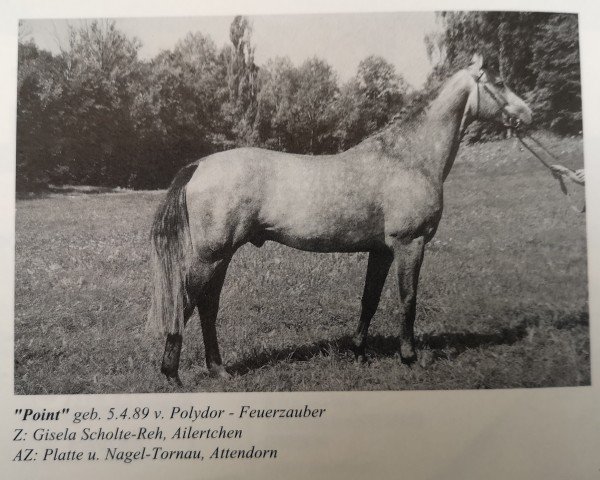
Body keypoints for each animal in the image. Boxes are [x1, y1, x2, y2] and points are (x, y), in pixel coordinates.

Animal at [148, 54, 532, 384]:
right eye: (499, 82)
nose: (528, 115)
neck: (408, 158)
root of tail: (199, 166)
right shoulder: (410, 243)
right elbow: (408, 300)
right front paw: (409, 357)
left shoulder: (382, 250)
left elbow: (369, 300)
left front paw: (358, 352)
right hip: (210, 257)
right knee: (187, 303)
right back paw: (172, 374)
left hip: (221, 257)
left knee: (207, 307)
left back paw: (218, 369)